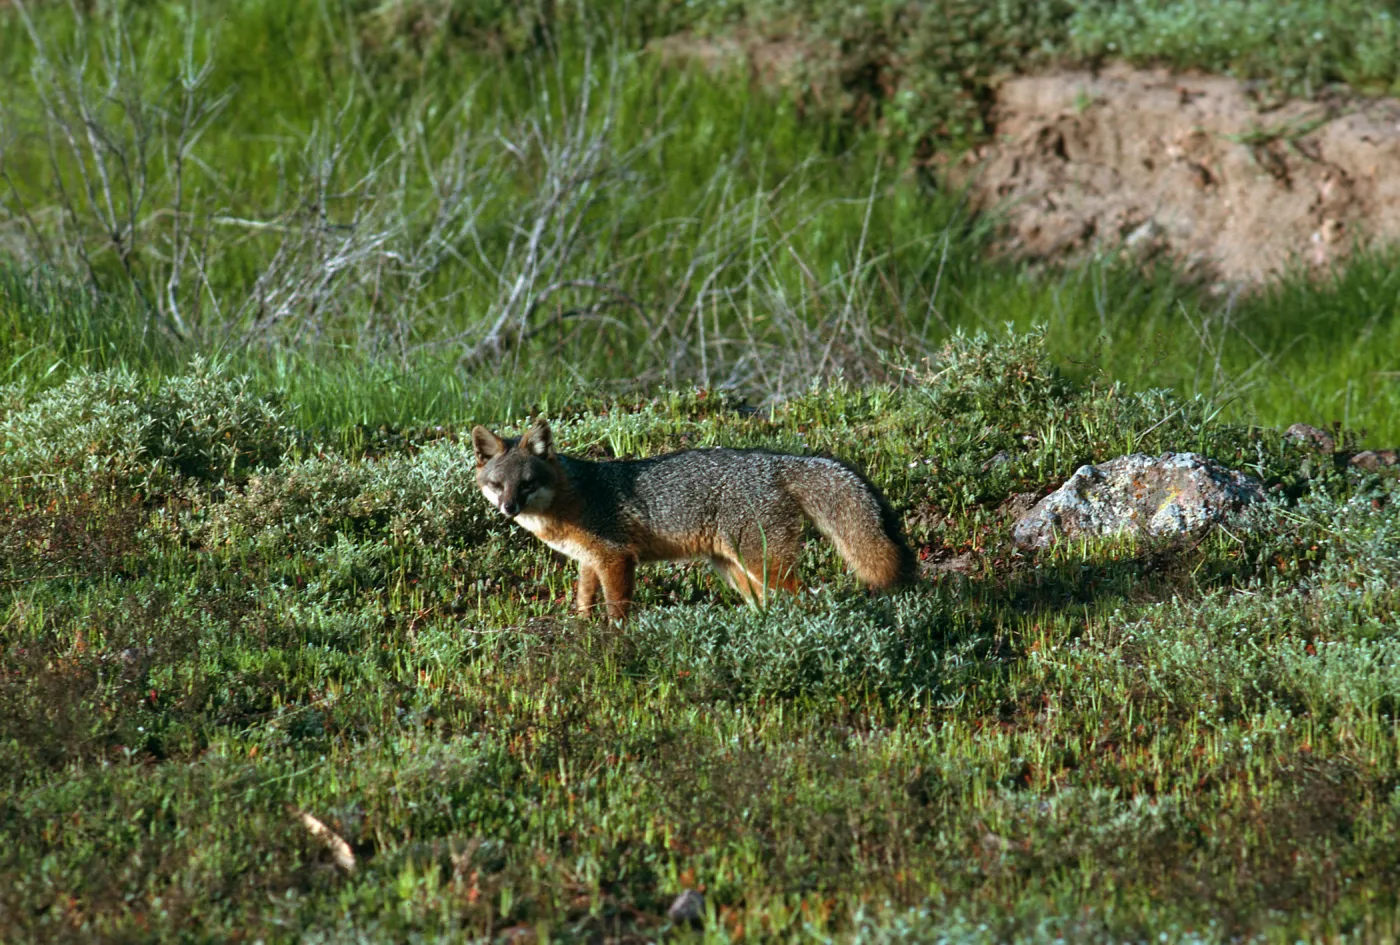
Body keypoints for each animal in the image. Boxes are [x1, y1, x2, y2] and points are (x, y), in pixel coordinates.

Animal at [471, 420, 915, 620]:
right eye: (498, 485)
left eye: (527, 484)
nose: (509, 508)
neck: (570, 499)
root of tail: (777, 461)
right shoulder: (589, 561)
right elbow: (584, 601)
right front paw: (582, 629)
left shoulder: (617, 558)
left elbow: (617, 609)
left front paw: (614, 639)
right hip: (736, 571)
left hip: (761, 564)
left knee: (802, 595)